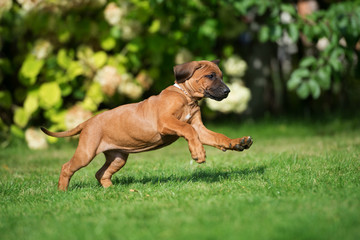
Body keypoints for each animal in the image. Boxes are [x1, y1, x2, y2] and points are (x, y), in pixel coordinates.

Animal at [41, 60, 253, 191]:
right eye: (210, 76)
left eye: (221, 76)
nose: (227, 91)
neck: (186, 97)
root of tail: (89, 121)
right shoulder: (166, 122)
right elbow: (188, 129)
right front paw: (198, 153)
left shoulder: (201, 129)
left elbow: (217, 136)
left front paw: (237, 142)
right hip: (86, 152)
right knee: (67, 167)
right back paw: (62, 191)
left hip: (118, 157)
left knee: (101, 173)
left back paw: (112, 191)